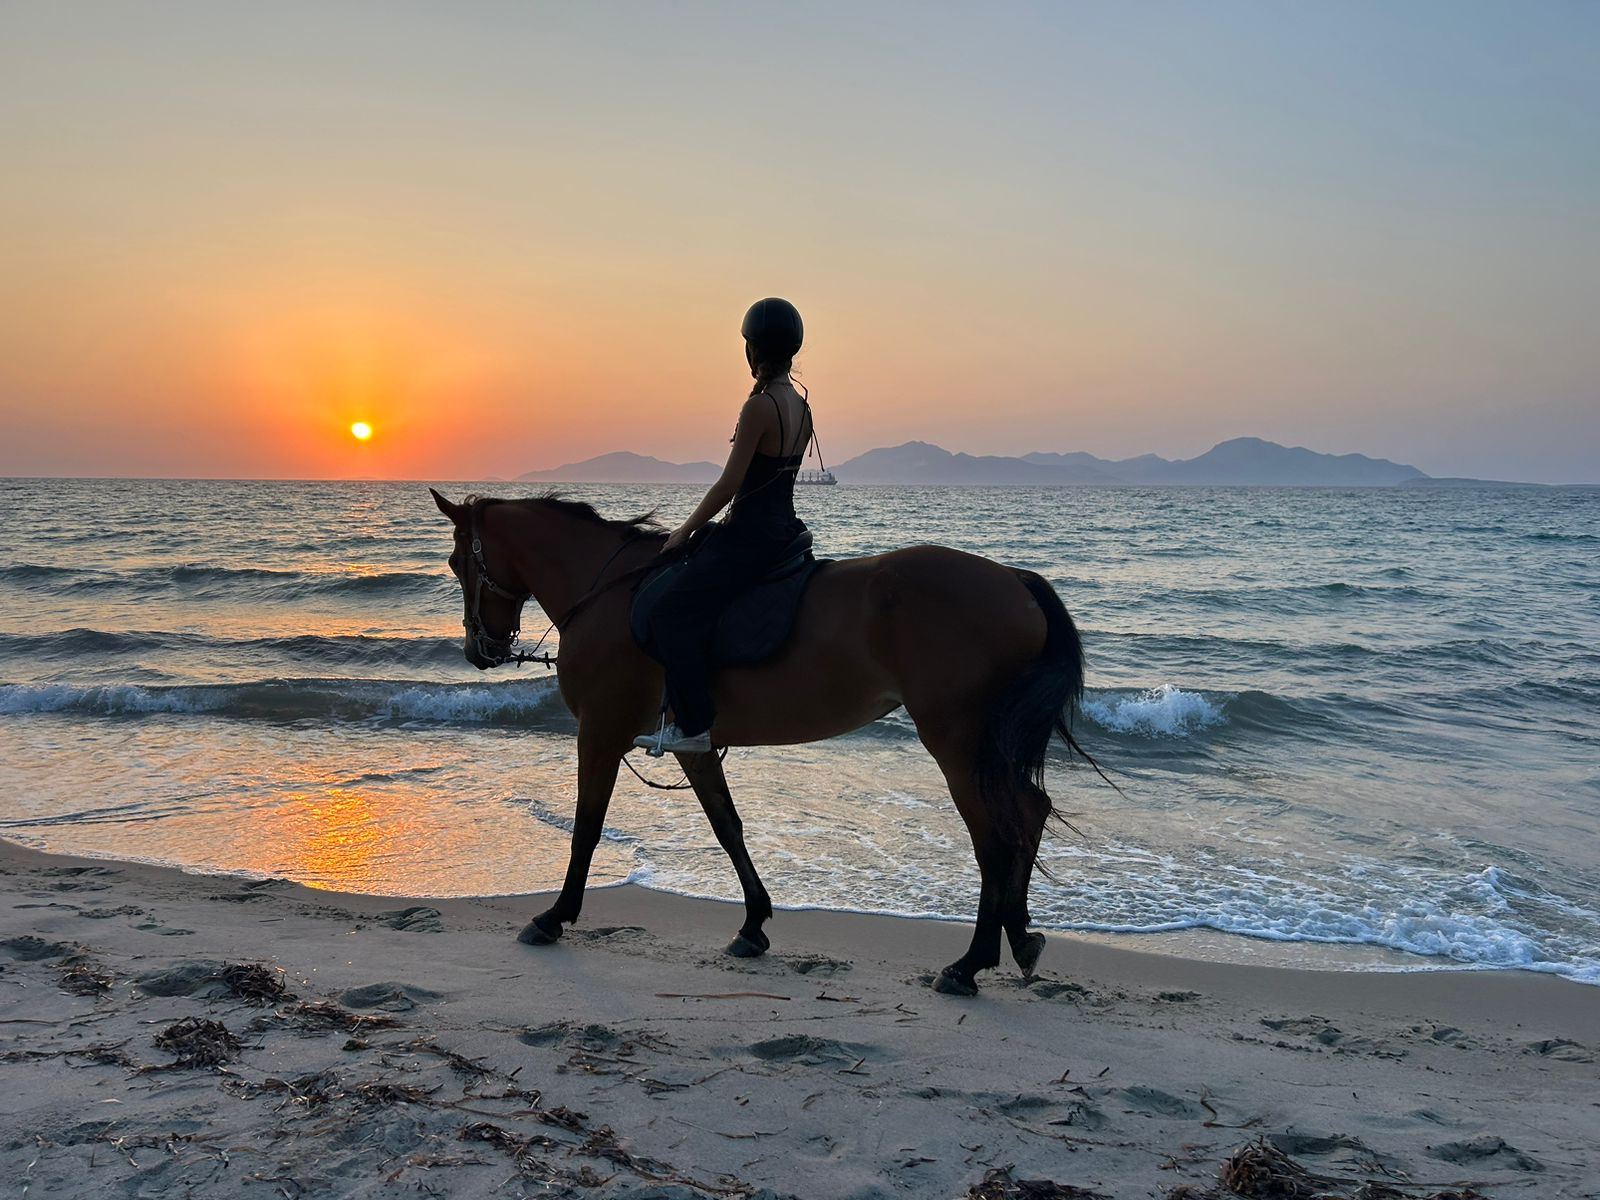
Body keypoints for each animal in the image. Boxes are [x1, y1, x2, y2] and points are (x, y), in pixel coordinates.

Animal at [430, 488, 1094, 996]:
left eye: (457, 563)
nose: (478, 651)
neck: (610, 593)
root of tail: (1014, 581)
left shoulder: (599, 730)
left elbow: (587, 827)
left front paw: (554, 916)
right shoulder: (692, 742)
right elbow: (727, 826)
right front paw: (753, 924)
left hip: (957, 741)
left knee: (994, 836)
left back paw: (969, 964)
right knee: (1028, 813)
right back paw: (1019, 938)